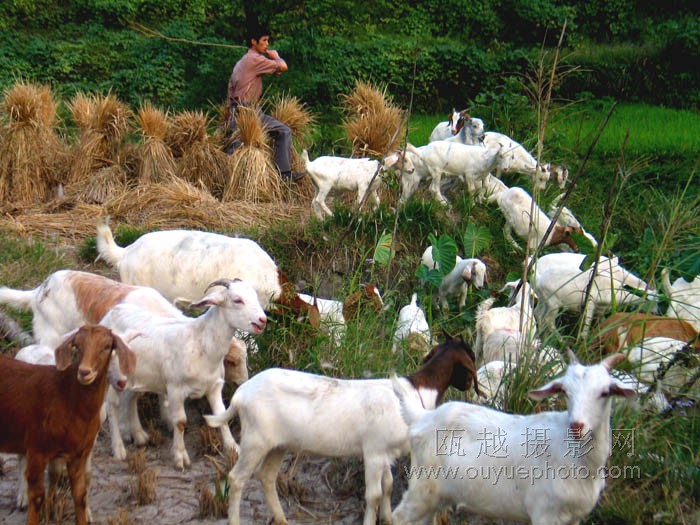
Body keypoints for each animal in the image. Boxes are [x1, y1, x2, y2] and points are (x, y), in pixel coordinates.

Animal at [0, 324, 136, 524]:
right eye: (76, 346)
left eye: (107, 347)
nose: (84, 372)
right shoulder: (37, 449)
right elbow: (38, 496)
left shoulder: (80, 452)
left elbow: (80, 492)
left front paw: (85, 514)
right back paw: (22, 497)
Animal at [101, 276, 268, 468]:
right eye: (237, 300)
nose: (262, 320)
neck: (199, 342)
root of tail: (111, 313)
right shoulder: (175, 388)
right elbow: (180, 422)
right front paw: (180, 457)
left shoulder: (214, 386)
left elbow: (221, 416)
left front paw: (233, 448)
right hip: (113, 375)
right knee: (112, 405)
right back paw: (119, 449)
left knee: (130, 397)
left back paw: (139, 436)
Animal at [202, 336, 482, 524]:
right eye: (470, 359)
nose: (470, 387)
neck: (415, 393)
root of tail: (240, 394)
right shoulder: (373, 451)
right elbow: (374, 495)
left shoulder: (386, 453)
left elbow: (389, 486)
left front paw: (388, 518)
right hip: (255, 440)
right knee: (236, 479)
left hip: (277, 444)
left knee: (267, 476)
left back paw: (282, 519)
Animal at [392, 352, 636, 524]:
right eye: (566, 392)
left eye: (605, 392)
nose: (577, 426)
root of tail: (423, 416)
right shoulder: (545, 513)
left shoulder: (573, 518)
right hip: (423, 486)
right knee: (398, 517)